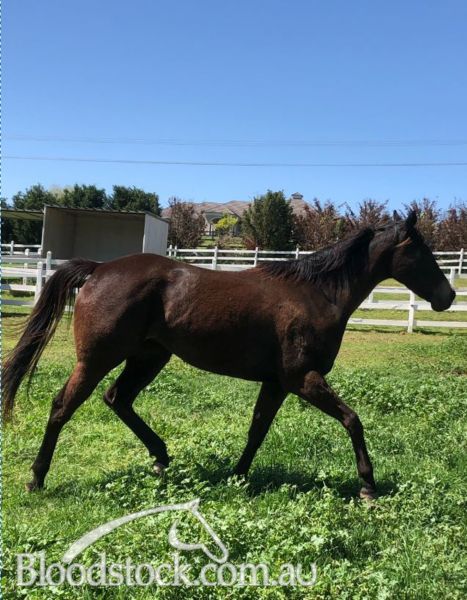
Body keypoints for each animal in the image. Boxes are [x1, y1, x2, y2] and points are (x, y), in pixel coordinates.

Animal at [2, 211, 455, 500]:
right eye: (421, 252)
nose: (448, 296)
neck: (316, 293)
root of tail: (98, 269)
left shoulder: (277, 384)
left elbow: (257, 430)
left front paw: (236, 477)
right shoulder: (302, 379)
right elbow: (352, 420)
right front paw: (368, 486)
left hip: (149, 358)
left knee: (119, 399)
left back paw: (162, 458)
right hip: (97, 359)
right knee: (62, 407)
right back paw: (37, 480)